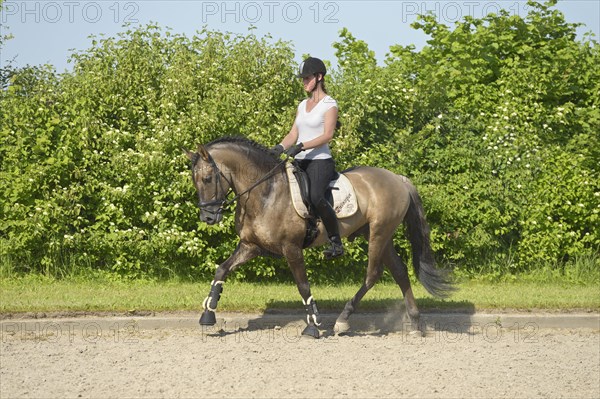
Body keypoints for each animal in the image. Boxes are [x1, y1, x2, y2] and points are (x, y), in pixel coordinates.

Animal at [185, 138, 452, 338]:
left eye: (207, 179)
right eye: (194, 180)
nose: (208, 217)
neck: (266, 192)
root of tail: (398, 179)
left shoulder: (291, 248)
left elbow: (303, 286)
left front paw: (312, 325)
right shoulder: (251, 246)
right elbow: (221, 269)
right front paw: (208, 312)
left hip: (379, 232)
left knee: (373, 274)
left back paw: (343, 320)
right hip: (379, 236)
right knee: (399, 271)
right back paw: (415, 323)